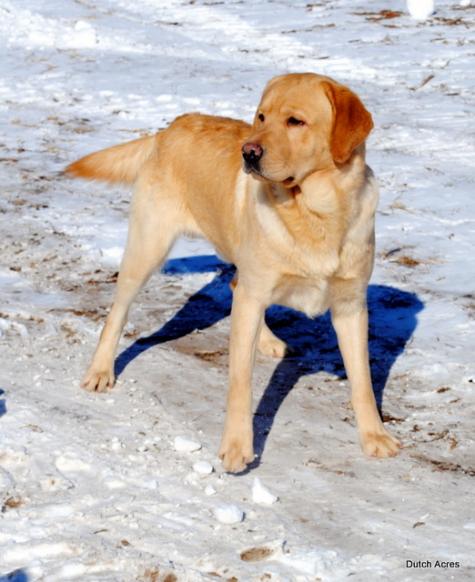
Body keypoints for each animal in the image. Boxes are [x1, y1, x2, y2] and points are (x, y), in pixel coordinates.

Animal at [66, 73, 402, 474]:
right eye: (261, 116)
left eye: (295, 121)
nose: (249, 152)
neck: (318, 211)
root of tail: (169, 128)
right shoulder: (255, 298)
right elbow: (240, 383)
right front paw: (237, 446)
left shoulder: (351, 306)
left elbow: (363, 381)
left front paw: (374, 436)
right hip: (148, 249)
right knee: (117, 313)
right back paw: (101, 370)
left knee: (234, 282)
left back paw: (268, 341)